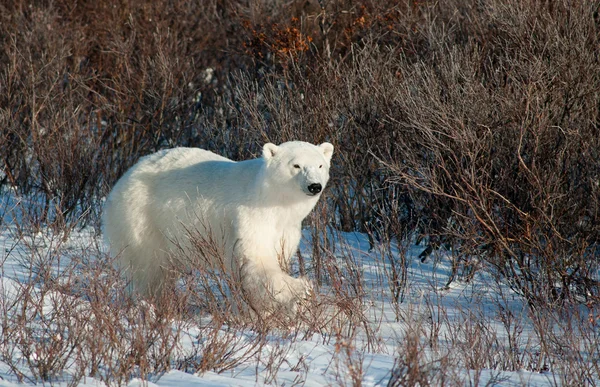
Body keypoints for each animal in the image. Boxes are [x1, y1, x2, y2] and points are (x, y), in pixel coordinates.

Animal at [103, 141, 336, 316]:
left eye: (320, 165)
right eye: (296, 165)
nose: (314, 186)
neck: (273, 201)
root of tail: (126, 175)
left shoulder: (286, 229)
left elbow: (277, 255)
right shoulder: (250, 218)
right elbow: (256, 262)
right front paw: (301, 289)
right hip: (143, 217)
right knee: (147, 268)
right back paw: (149, 304)